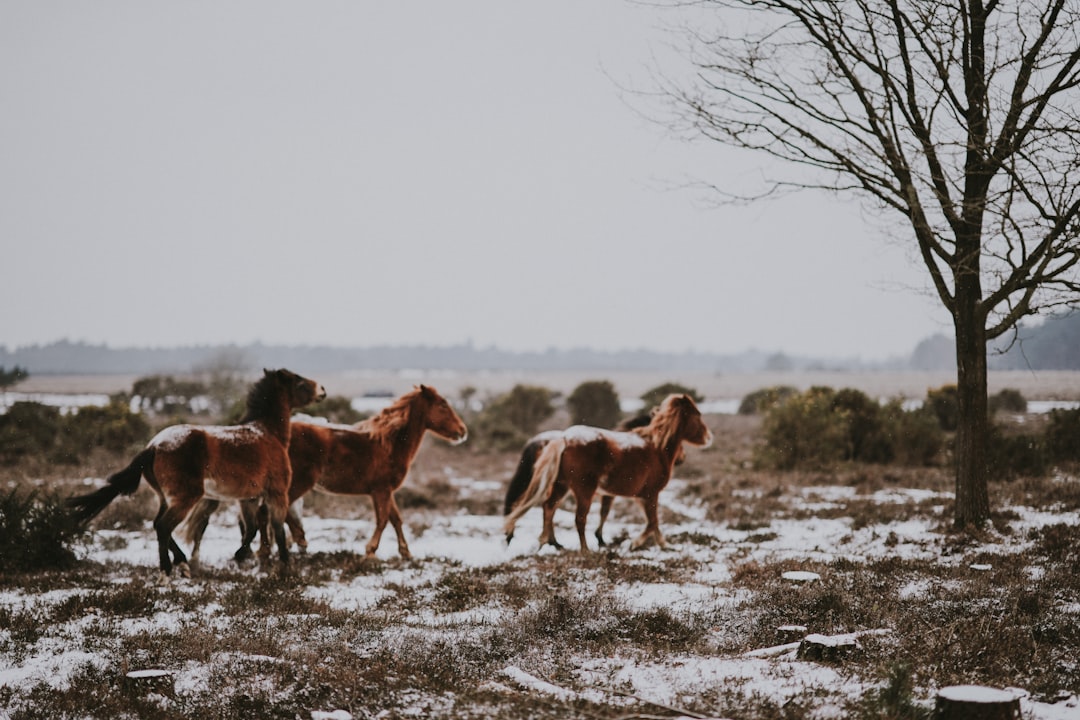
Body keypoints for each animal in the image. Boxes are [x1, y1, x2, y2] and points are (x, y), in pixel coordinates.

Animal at [67, 369, 324, 578]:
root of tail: (153, 446)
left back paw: (181, 563)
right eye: (299, 381)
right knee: (163, 527)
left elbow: (252, 530)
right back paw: (167, 572)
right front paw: (284, 565)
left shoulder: (248, 498)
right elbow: (277, 529)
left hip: (165, 497)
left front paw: (242, 556)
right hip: (185, 497)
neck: (268, 434)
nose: (322, 389)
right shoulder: (277, 493)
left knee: (158, 524)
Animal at [185, 386, 464, 561]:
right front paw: (370, 551)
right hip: (296, 484)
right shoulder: (381, 491)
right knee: (269, 513)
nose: (463, 431)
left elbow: (396, 519)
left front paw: (406, 553)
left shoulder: (385, 492)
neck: (388, 443)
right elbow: (383, 520)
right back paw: (271, 550)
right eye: (442, 404)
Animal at [503, 397, 712, 557]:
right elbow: (652, 522)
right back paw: (584, 551)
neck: (656, 448)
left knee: (548, 507)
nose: (709, 437)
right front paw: (635, 544)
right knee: (579, 519)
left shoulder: (637, 496)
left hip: (561, 485)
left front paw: (663, 545)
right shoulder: (651, 494)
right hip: (583, 491)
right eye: (697, 415)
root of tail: (563, 439)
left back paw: (546, 543)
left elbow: (649, 522)